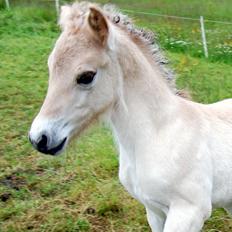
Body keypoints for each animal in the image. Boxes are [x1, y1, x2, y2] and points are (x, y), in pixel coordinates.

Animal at [29, 2, 232, 232]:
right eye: (50, 66)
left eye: (86, 76)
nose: (39, 138)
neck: (159, 134)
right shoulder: (153, 210)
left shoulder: (189, 212)